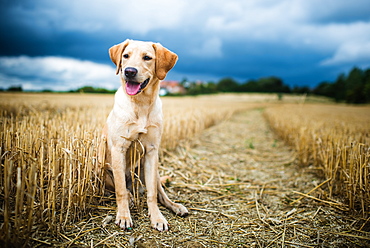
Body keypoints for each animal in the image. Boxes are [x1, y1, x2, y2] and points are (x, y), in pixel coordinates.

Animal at [98, 38, 188, 231]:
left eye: (147, 57)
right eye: (126, 56)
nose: (129, 71)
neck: (141, 103)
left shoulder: (152, 151)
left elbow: (152, 194)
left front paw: (157, 217)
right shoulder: (119, 148)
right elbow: (120, 191)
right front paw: (124, 216)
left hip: (152, 171)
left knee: (160, 194)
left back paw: (176, 206)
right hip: (101, 169)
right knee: (122, 189)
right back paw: (130, 198)